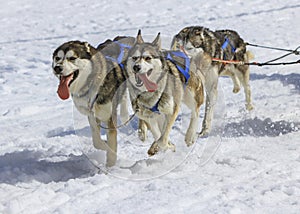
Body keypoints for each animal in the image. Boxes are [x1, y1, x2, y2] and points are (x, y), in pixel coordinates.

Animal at [52, 36, 135, 166]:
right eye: (57, 58)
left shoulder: (109, 116)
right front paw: (104, 145)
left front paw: (111, 166)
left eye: (72, 58)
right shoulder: (91, 114)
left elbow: (112, 142)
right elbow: (96, 141)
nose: (57, 68)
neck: (91, 85)